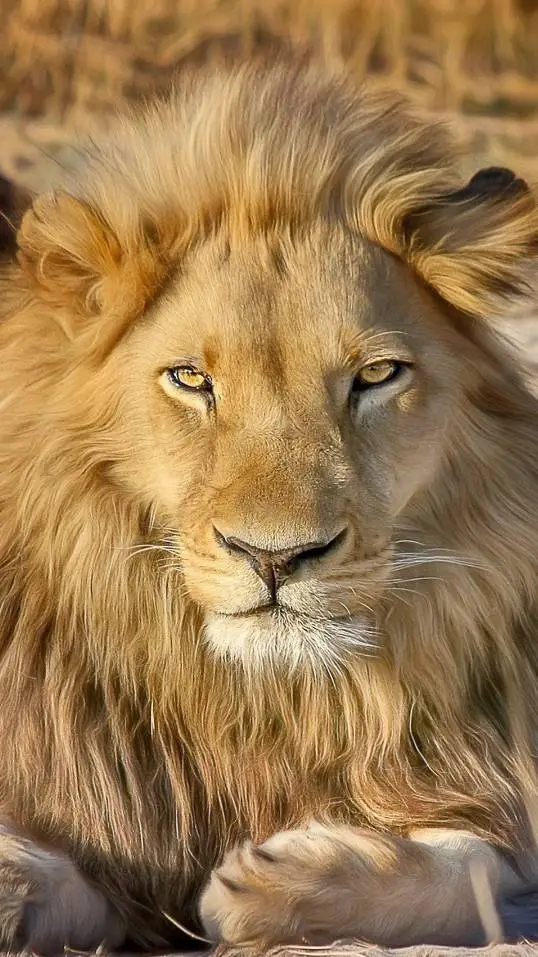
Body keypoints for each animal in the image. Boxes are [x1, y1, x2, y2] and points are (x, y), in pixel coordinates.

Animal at [1, 41, 538, 954]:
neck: (264, 700)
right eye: (191, 379)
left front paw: (282, 881)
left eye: (377, 374)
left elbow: (475, 864)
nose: (276, 557)